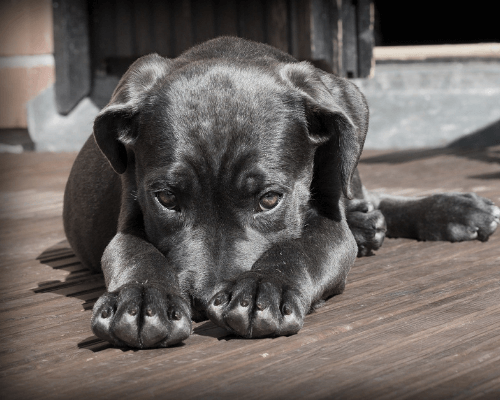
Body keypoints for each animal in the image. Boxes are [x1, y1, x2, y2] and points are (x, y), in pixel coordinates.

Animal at [63, 38, 500, 350]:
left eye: (270, 199)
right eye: (167, 199)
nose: (203, 301)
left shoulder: (329, 223)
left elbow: (300, 247)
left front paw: (262, 288)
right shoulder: (129, 214)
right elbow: (135, 252)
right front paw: (141, 299)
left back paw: (452, 210)